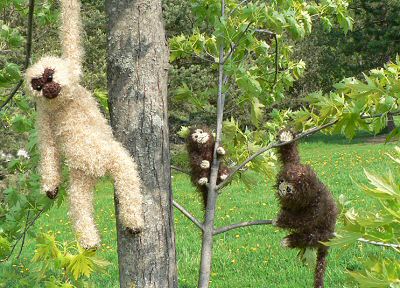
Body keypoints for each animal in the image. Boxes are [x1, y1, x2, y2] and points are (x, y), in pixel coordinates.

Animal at [25, 0, 144, 249]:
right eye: (37, 86)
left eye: (49, 76)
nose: (48, 89)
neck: (63, 104)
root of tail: (96, 172)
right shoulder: (43, 117)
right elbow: (48, 150)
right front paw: (50, 187)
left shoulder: (74, 70)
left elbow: (70, 31)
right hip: (80, 180)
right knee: (79, 207)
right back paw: (90, 242)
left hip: (114, 157)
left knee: (128, 179)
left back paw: (133, 222)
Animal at [276, 130, 338, 288]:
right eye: (282, 180)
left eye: (289, 189)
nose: (282, 188)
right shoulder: (294, 165)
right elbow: (291, 157)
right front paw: (286, 137)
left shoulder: (317, 206)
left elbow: (304, 220)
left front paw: (280, 220)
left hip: (325, 235)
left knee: (313, 237)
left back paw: (290, 241)